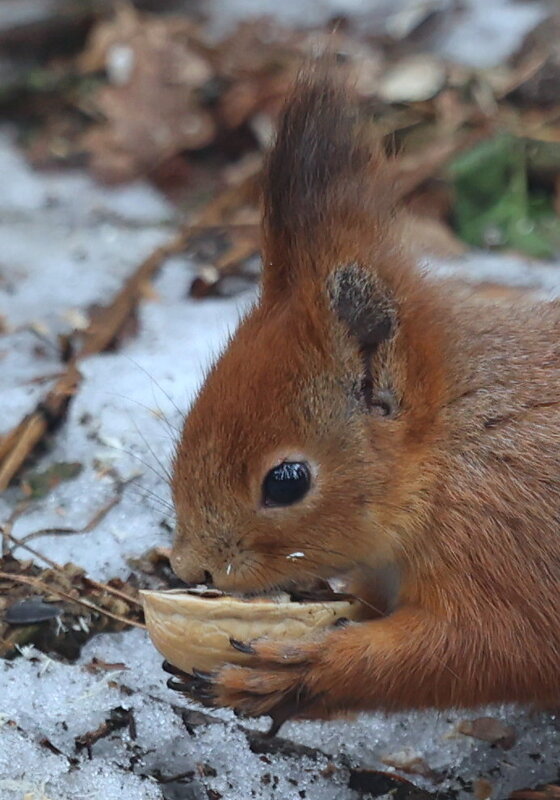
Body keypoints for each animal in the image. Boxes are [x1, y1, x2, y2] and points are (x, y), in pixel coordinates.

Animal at [168, 65, 560, 728]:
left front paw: (296, 672)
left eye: (287, 483)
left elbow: (498, 645)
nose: (190, 567)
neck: (453, 444)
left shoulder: (504, 532)